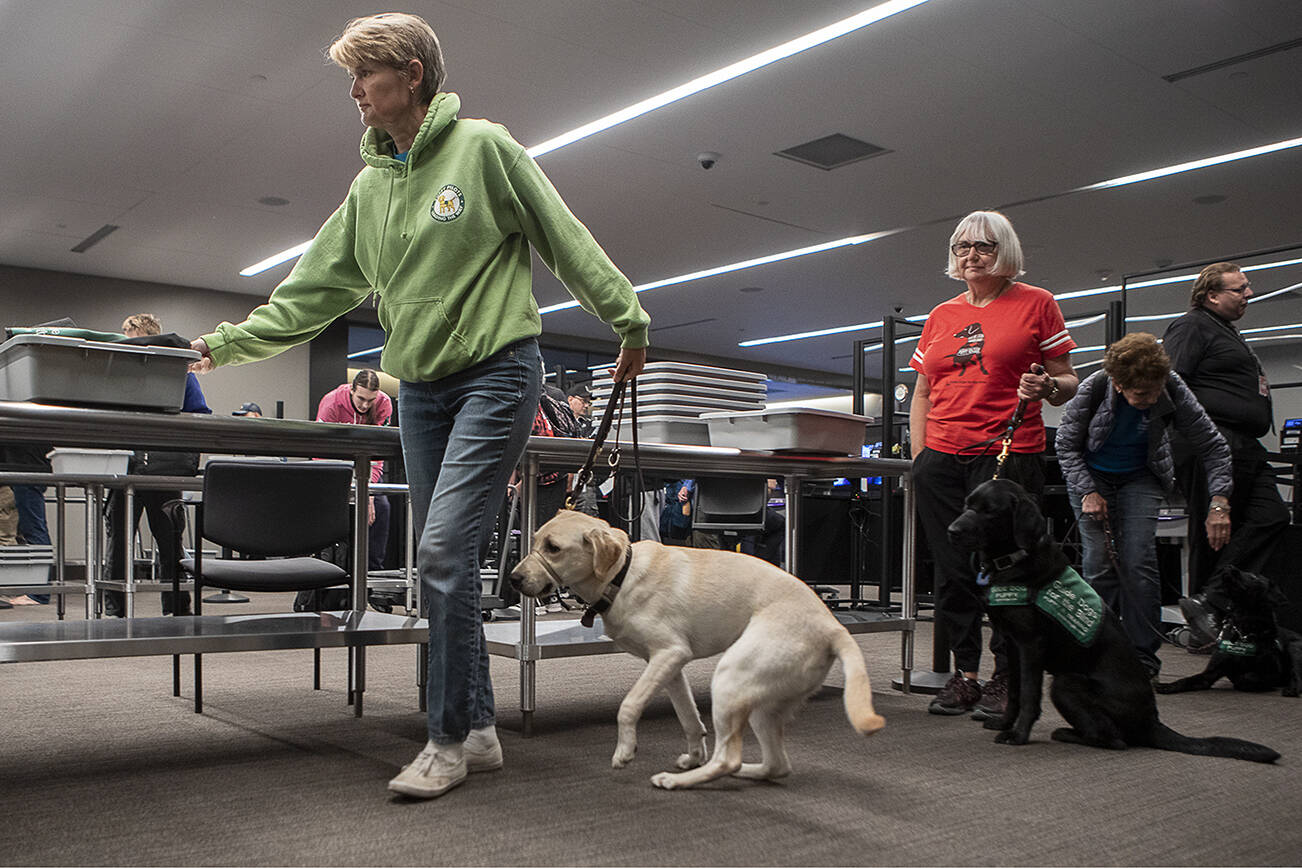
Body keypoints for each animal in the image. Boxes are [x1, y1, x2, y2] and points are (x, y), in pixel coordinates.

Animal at [507, 512, 885, 791]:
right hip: (764, 704)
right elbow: (688, 717)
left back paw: (678, 781)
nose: (512, 579)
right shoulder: (670, 666)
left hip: (731, 678)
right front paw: (693, 754)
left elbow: (629, 706)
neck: (621, 576)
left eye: (553, 548)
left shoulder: (668, 654)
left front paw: (625, 750)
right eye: (535, 540)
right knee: (776, 765)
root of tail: (833, 627)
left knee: (729, 758)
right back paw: (735, 771)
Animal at [953, 478, 1275, 765]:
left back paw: (1067, 733)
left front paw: (1018, 735)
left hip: (1066, 683)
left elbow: (1030, 695)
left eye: (989, 511)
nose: (951, 529)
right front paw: (1005, 723)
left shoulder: (1031, 645)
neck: (1013, 560)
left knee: (1115, 740)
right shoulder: (1012, 643)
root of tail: (1152, 721)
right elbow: (1015, 692)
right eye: (968, 505)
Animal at [1161, 564, 1302, 697]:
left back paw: (1291, 689)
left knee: (1296, 674)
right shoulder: (1209, 674)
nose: (1229, 567)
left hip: (1295, 649)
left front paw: (1241, 680)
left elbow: (1249, 677)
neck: (1243, 631)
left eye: (1253, 577)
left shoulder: (1272, 673)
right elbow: (1187, 680)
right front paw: (1167, 686)